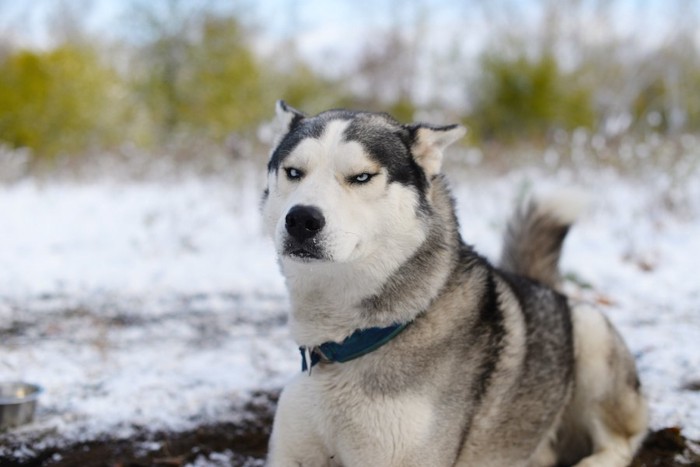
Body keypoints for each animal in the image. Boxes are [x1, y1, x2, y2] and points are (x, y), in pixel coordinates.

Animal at [262, 100, 652, 466]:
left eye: (361, 177)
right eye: (294, 172)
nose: (301, 220)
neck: (345, 344)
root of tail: (546, 287)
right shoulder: (291, 452)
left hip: (591, 333)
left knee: (623, 441)